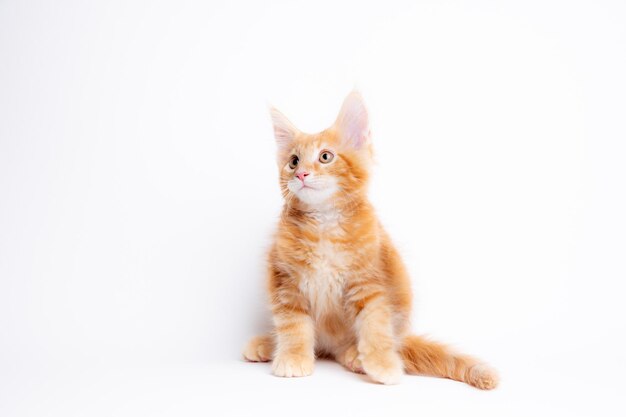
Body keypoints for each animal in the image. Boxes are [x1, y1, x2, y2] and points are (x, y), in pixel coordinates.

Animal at [244, 92, 498, 386]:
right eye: (293, 160)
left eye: (325, 157)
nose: (301, 174)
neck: (324, 223)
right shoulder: (286, 282)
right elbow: (292, 327)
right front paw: (292, 358)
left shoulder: (369, 281)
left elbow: (374, 325)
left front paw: (383, 366)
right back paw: (267, 345)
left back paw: (356, 356)